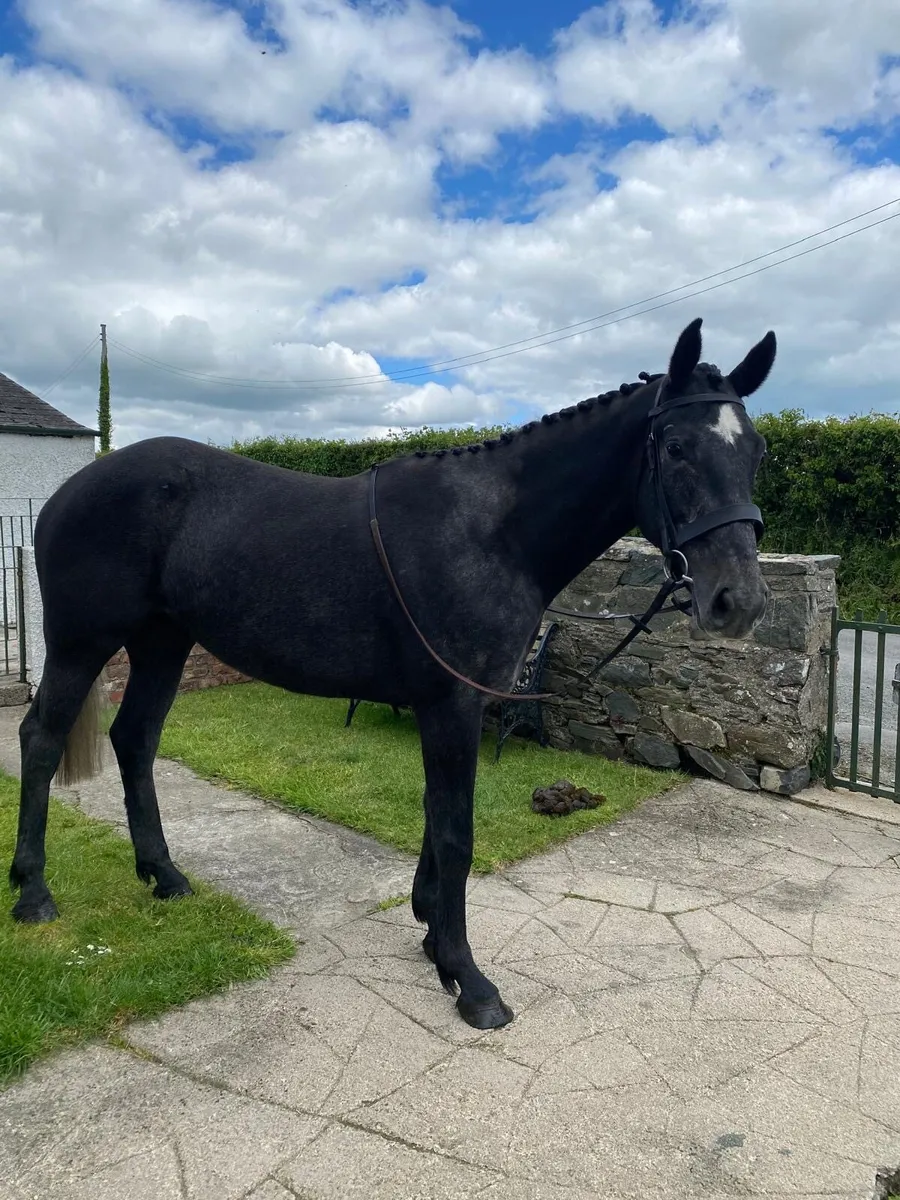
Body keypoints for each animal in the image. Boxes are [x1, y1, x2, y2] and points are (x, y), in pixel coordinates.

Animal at [9, 317, 774, 1030]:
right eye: (676, 448)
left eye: (757, 451)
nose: (737, 602)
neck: (491, 532)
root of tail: (68, 490)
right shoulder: (452, 704)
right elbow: (457, 832)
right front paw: (471, 981)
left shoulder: (455, 707)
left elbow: (437, 817)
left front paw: (434, 938)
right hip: (80, 644)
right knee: (40, 739)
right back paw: (33, 893)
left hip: (163, 644)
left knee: (134, 740)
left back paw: (163, 875)